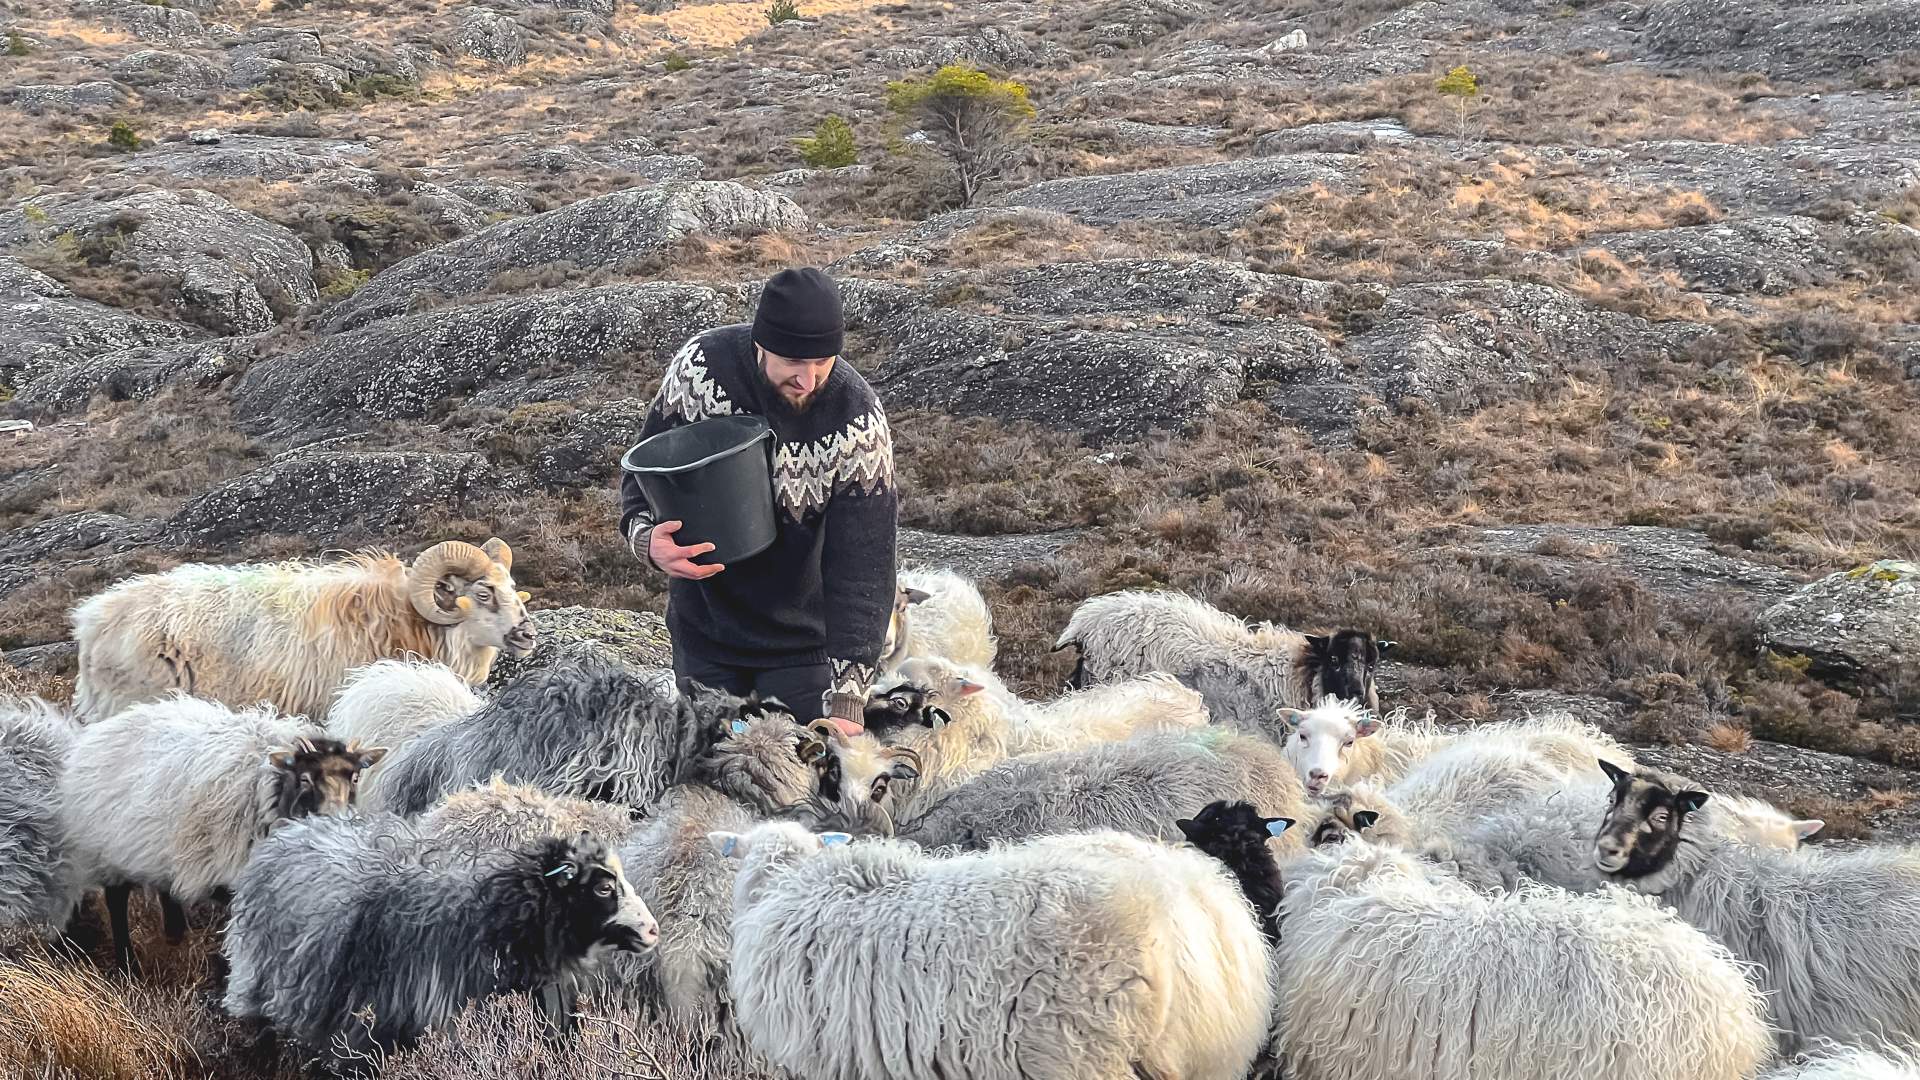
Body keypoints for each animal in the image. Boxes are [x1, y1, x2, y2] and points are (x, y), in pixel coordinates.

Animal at [59, 694, 385, 971]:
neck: (265, 789)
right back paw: (128, 964)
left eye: (355, 778)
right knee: (116, 900)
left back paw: (175, 933)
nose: (337, 821)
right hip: (108, 849)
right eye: (305, 779)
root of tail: (107, 726)